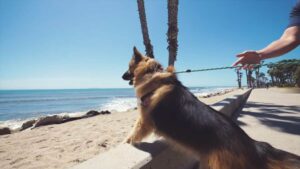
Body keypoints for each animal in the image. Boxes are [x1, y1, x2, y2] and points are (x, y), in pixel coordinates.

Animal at [122, 46, 300, 169]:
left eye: (129, 67)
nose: (122, 76)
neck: (153, 74)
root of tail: (254, 146)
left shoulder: (144, 120)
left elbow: (133, 134)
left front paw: (127, 142)